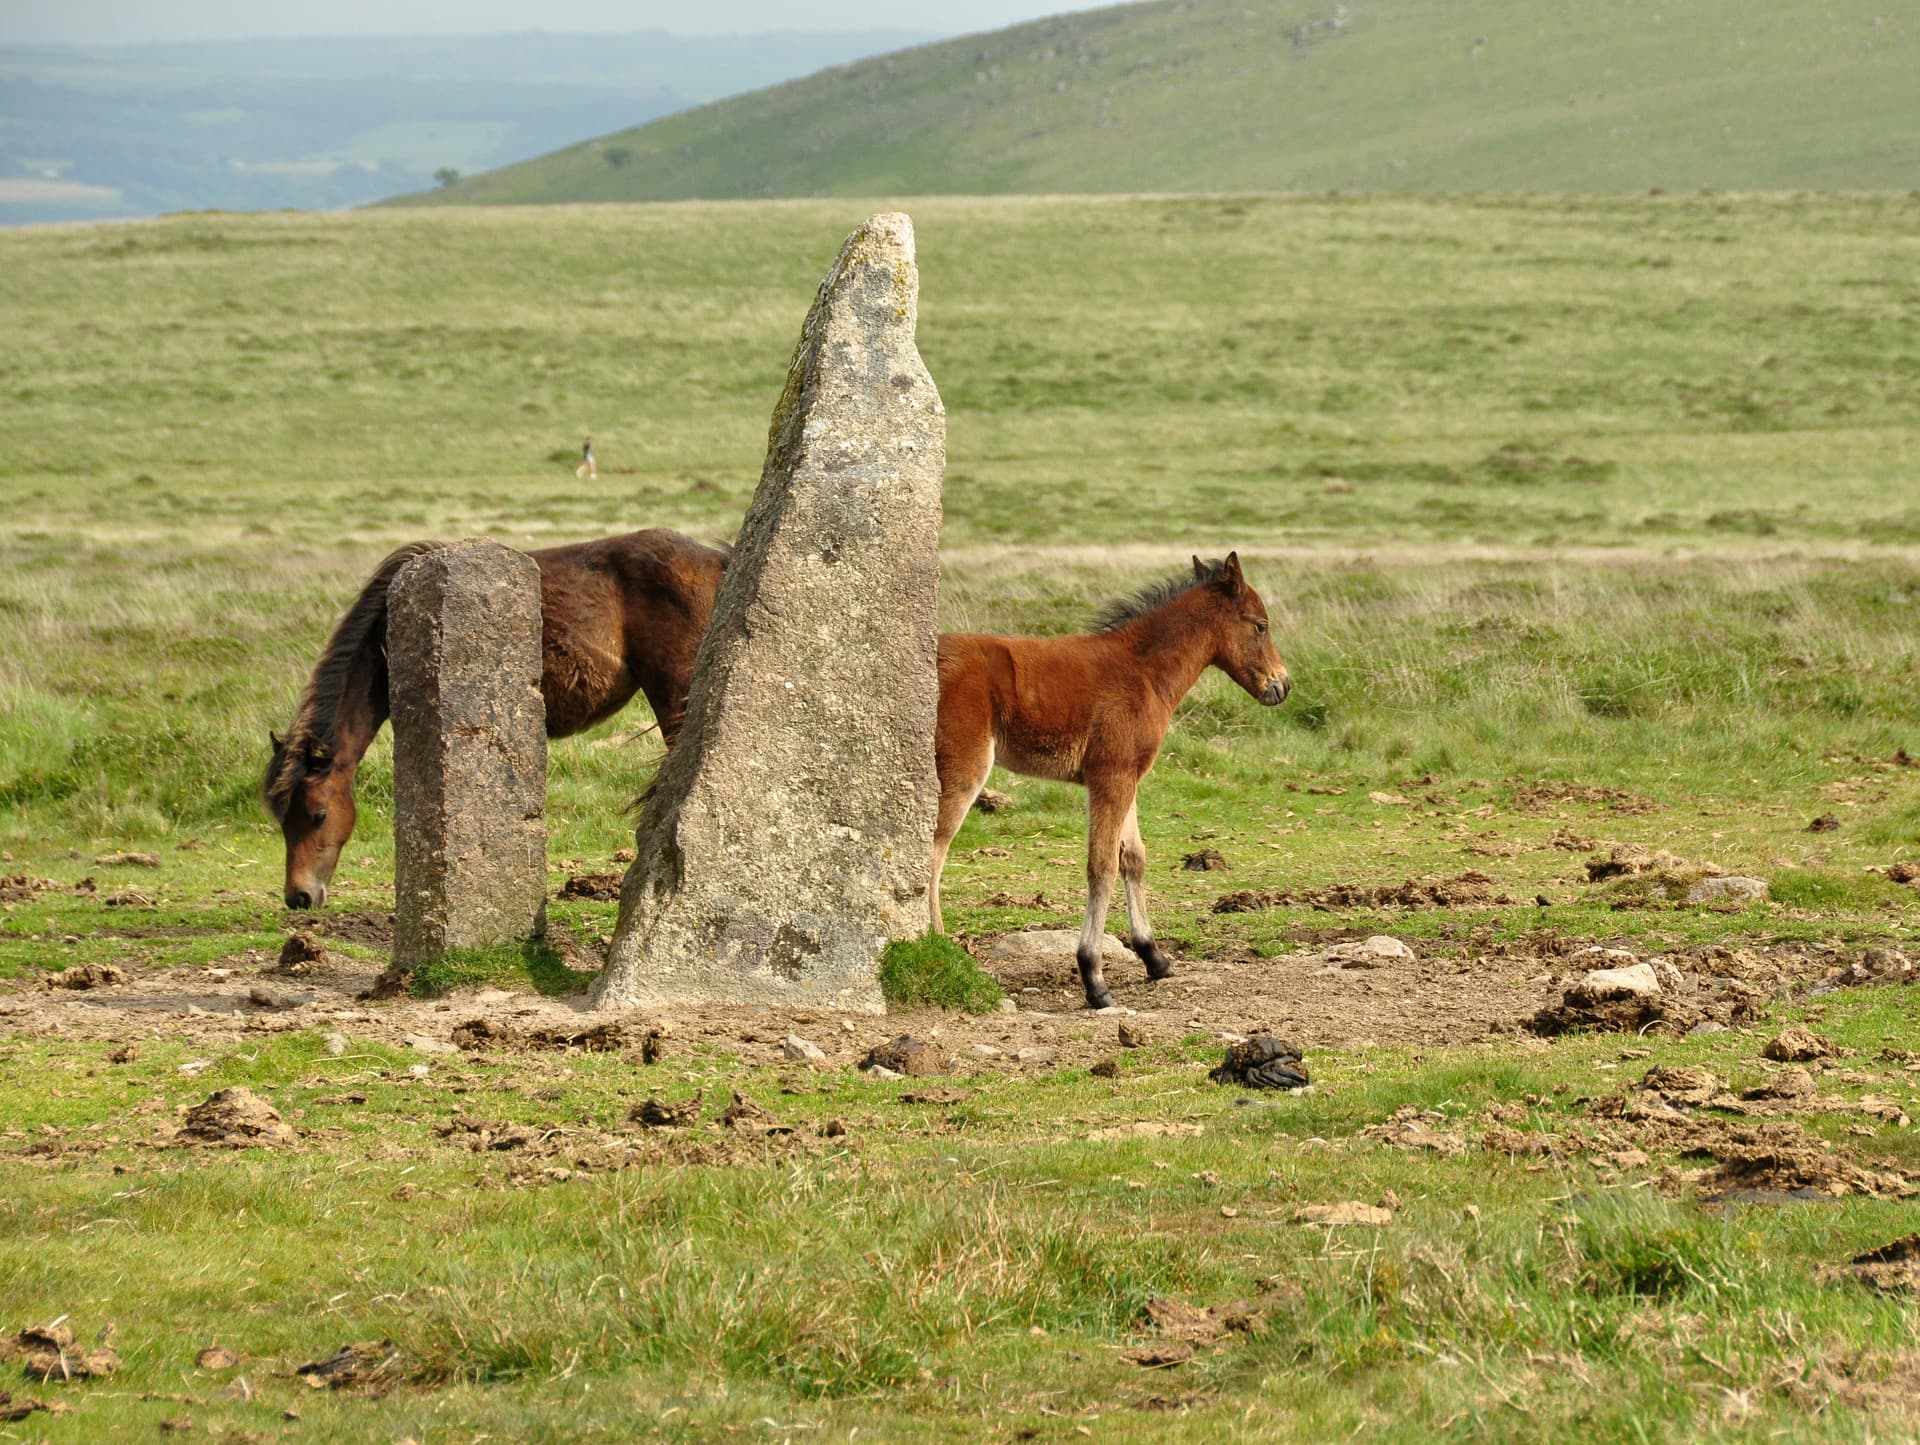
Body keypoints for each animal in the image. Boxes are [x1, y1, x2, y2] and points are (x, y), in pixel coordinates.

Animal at [931, 553, 1291, 1010]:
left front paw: (1154, 958)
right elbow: (1102, 866)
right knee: (933, 852)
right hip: (963, 769)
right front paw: (1094, 979)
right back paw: (938, 946)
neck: (1143, 670)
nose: (1282, 685)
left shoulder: (1128, 776)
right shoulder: (1111, 777)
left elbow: (1133, 858)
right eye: (1260, 625)